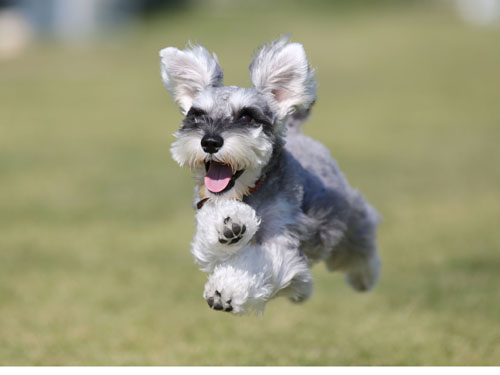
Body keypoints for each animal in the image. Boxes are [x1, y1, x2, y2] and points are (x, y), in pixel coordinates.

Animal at [160, 37, 382, 314]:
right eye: (197, 115)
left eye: (246, 116)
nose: (210, 142)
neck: (250, 192)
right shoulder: (206, 229)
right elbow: (213, 242)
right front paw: (228, 225)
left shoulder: (283, 238)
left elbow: (259, 264)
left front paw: (227, 290)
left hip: (345, 219)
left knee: (361, 238)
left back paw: (365, 275)